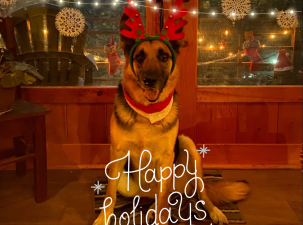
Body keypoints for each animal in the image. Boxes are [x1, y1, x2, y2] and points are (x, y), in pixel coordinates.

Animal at [94, 11, 251, 225]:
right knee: (161, 196)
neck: (148, 112)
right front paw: (103, 218)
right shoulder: (117, 155)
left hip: (188, 147)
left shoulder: (166, 158)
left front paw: (162, 217)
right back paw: (152, 209)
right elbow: (109, 194)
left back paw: (214, 211)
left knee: (195, 194)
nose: (149, 80)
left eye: (164, 56)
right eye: (139, 57)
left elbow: (164, 199)